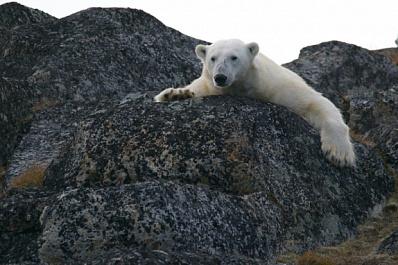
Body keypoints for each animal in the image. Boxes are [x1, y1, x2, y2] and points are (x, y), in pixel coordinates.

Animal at [154, 38, 356, 166]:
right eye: (212, 58)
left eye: (234, 57)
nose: (220, 77)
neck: (241, 87)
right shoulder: (207, 86)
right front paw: (175, 94)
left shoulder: (277, 87)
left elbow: (315, 102)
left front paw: (339, 154)